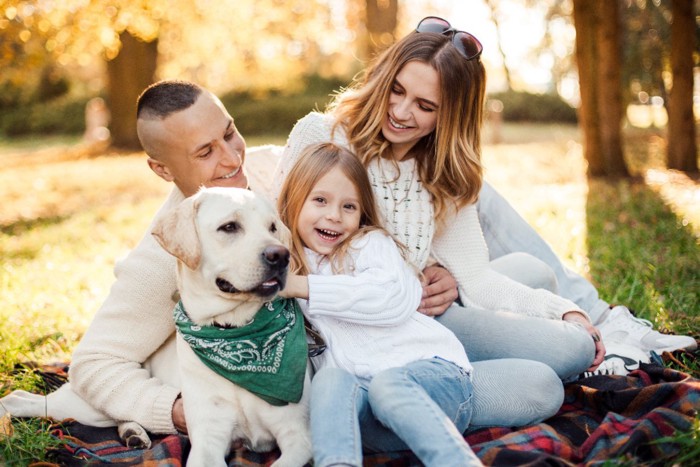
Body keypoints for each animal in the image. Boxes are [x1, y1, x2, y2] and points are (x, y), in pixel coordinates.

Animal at [152, 187, 312, 467]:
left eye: (272, 227)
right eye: (229, 227)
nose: (281, 255)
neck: (232, 331)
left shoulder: (298, 436)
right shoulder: (207, 442)